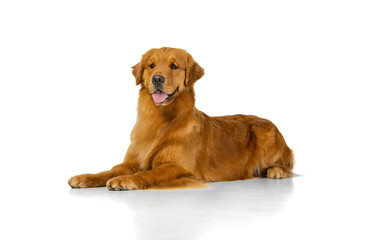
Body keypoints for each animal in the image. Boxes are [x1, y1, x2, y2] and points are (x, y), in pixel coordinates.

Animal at [69, 46, 294, 189]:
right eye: (151, 65)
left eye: (174, 66)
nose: (157, 79)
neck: (159, 118)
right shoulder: (130, 161)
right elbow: (109, 170)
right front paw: (85, 177)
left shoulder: (178, 166)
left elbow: (149, 173)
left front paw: (126, 180)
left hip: (265, 131)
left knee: (288, 164)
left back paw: (276, 171)